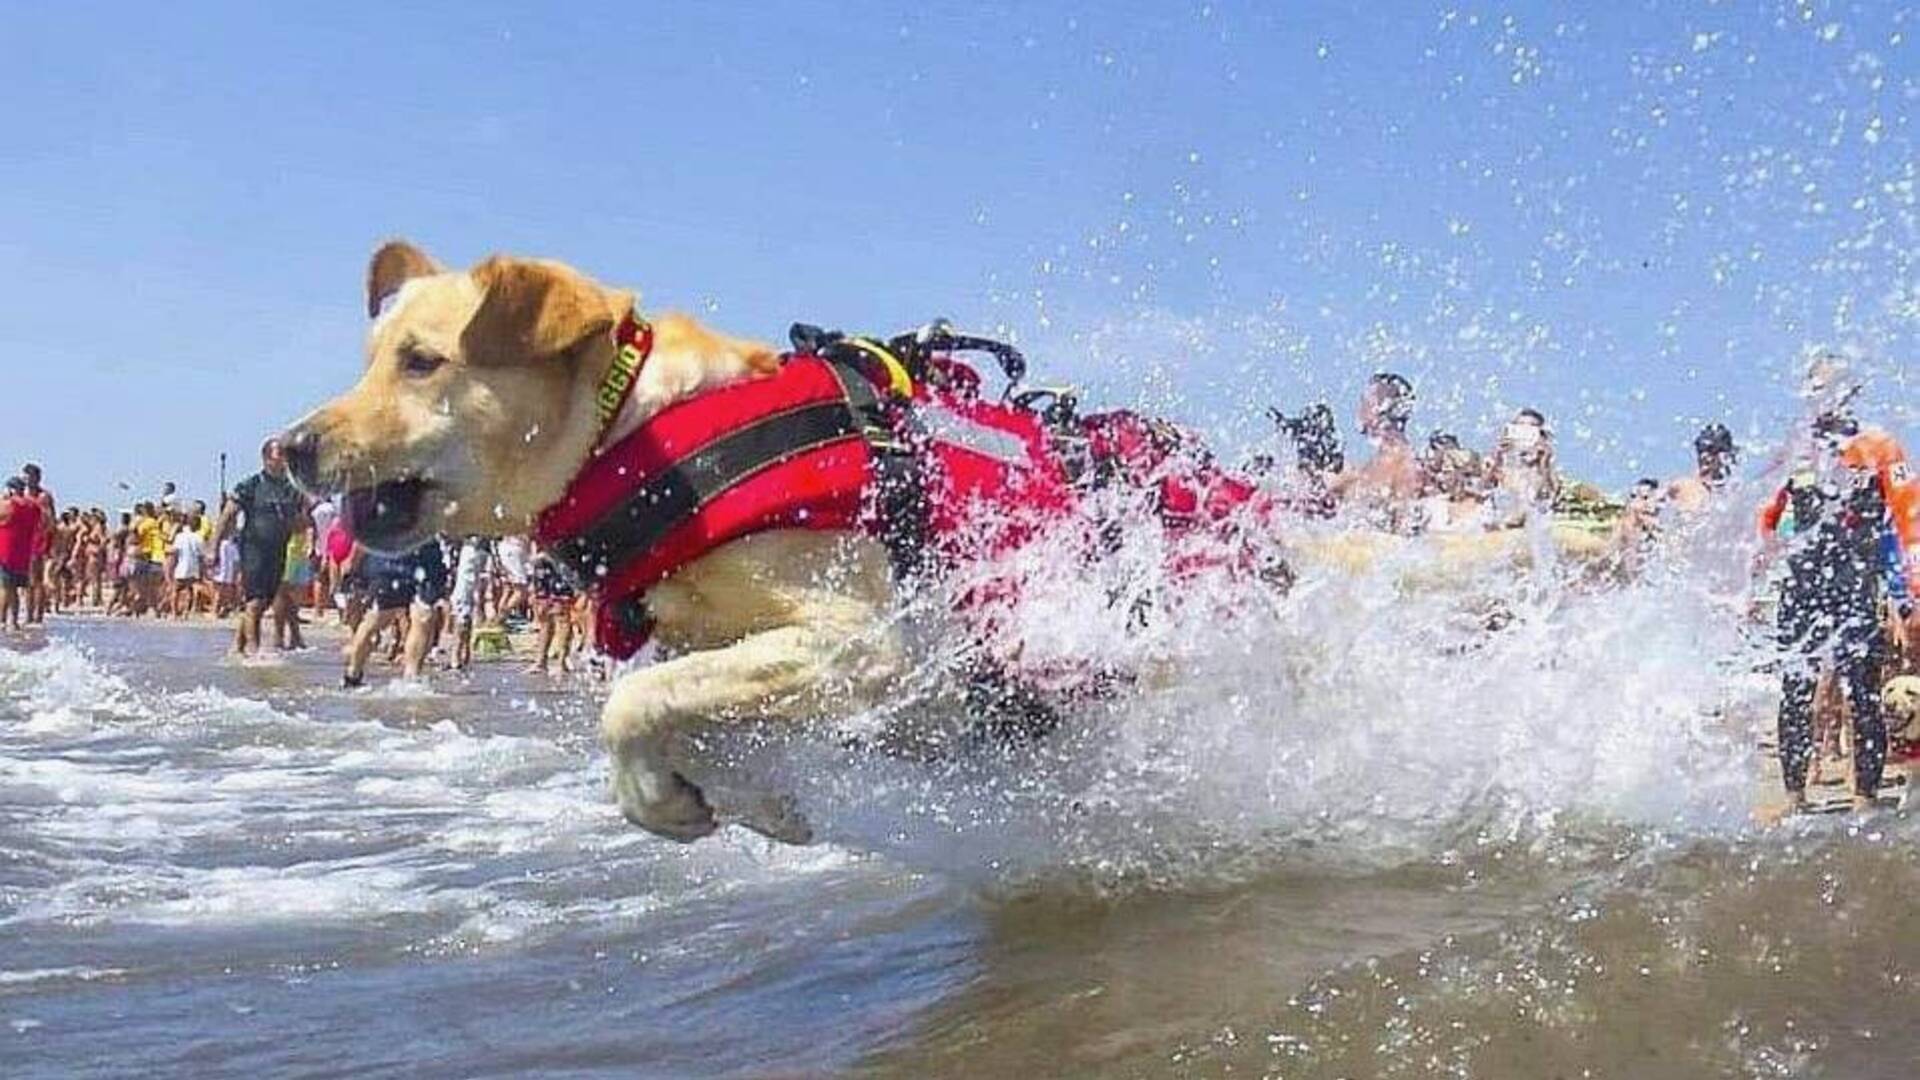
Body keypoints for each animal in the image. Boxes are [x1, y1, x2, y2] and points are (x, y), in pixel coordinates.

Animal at [284, 244, 906, 841]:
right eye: (369, 364)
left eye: (421, 361)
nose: (288, 447)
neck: (624, 429)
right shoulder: (705, 645)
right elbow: (695, 714)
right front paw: (757, 802)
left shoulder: (865, 639)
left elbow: (630, 700)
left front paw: (653, 798)